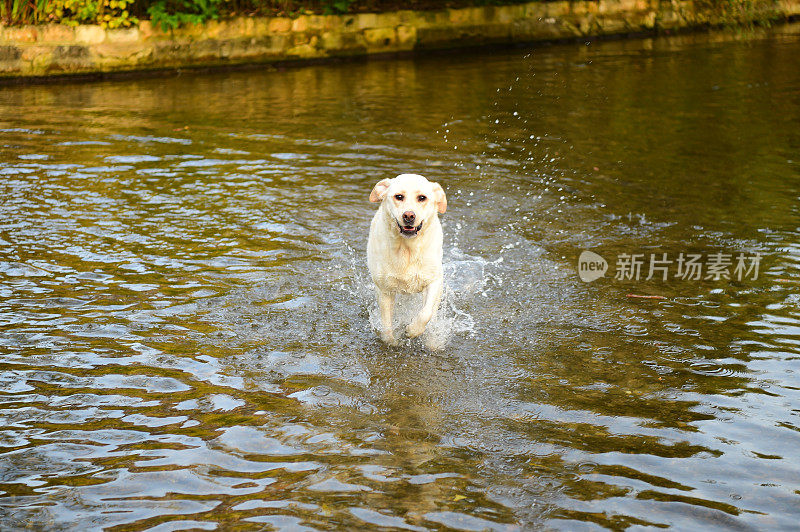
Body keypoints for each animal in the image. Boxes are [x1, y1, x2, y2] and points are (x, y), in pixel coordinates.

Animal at [368, 174, 446, 344]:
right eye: (399, 197)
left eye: (422, 198)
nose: (409, 215)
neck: (407, 249)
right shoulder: (385, 290)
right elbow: (386, 326)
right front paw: (392, 342)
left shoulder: (434, 281)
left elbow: (425, 313)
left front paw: (413, 330)